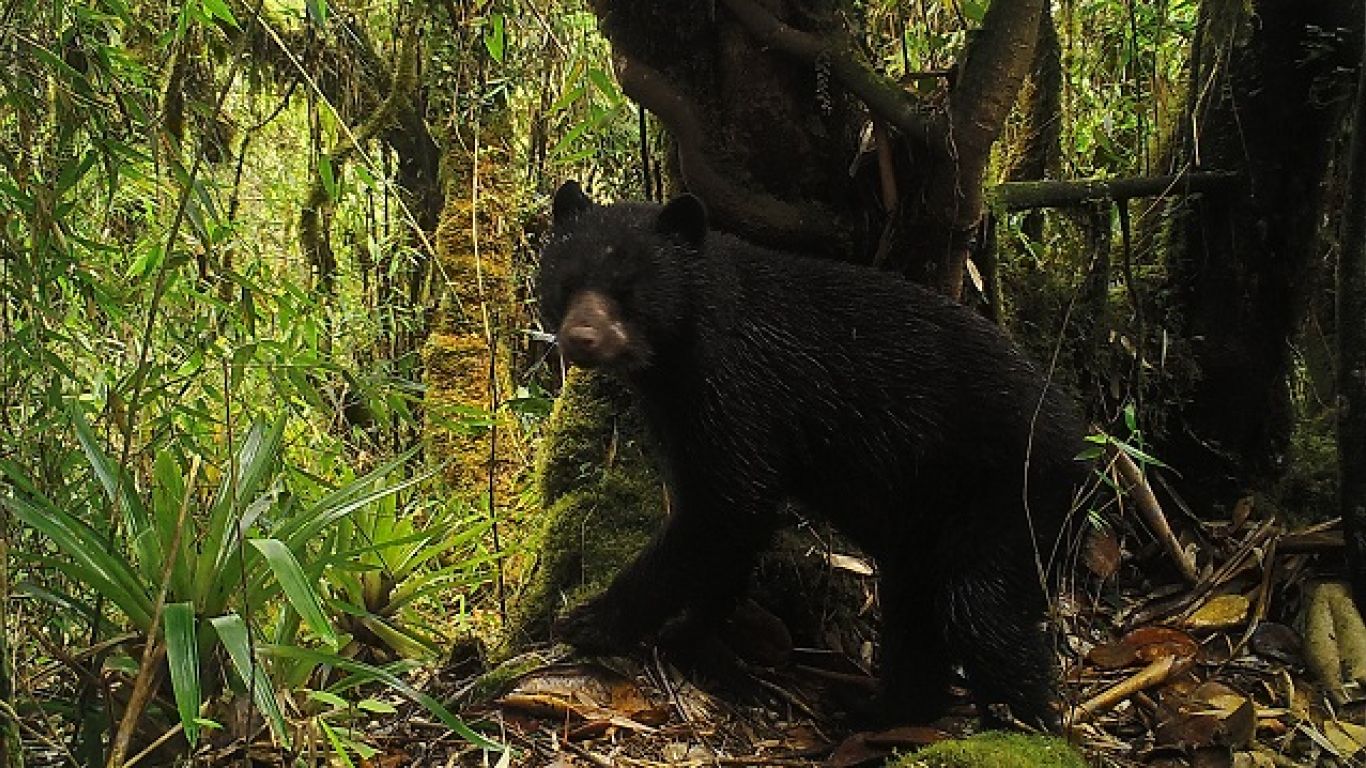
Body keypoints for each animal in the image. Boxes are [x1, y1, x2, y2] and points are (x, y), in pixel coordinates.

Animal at [538, 180, 1081, 727]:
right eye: (565, 283)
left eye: (628, 290)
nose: (580, 339)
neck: (684, 350)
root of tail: (1081, 439)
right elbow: (733, 520)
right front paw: (694, 633)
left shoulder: (739, 393)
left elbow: (722, 510)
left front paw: (591, 621)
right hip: (930, 520)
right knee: (917, 609)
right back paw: (880, 710)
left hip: (1010, 500)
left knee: (981, 612)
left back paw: (1026, 721)